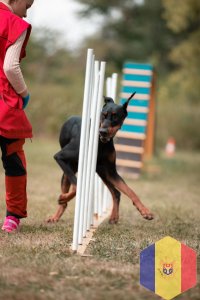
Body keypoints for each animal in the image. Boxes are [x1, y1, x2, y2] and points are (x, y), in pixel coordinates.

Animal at [47, 92, 154, 224]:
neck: (101, 143)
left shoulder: (111, 172)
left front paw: (145, 211)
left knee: (116, 192)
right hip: (69, 171)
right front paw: (63, 197)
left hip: (102, 172)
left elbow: (130, 191)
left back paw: (114, 216)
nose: (102, 132)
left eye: (115, 117)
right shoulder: (59, 156)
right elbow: (77, 186)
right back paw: (56, 214)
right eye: (103, 115)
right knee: (67, 194)